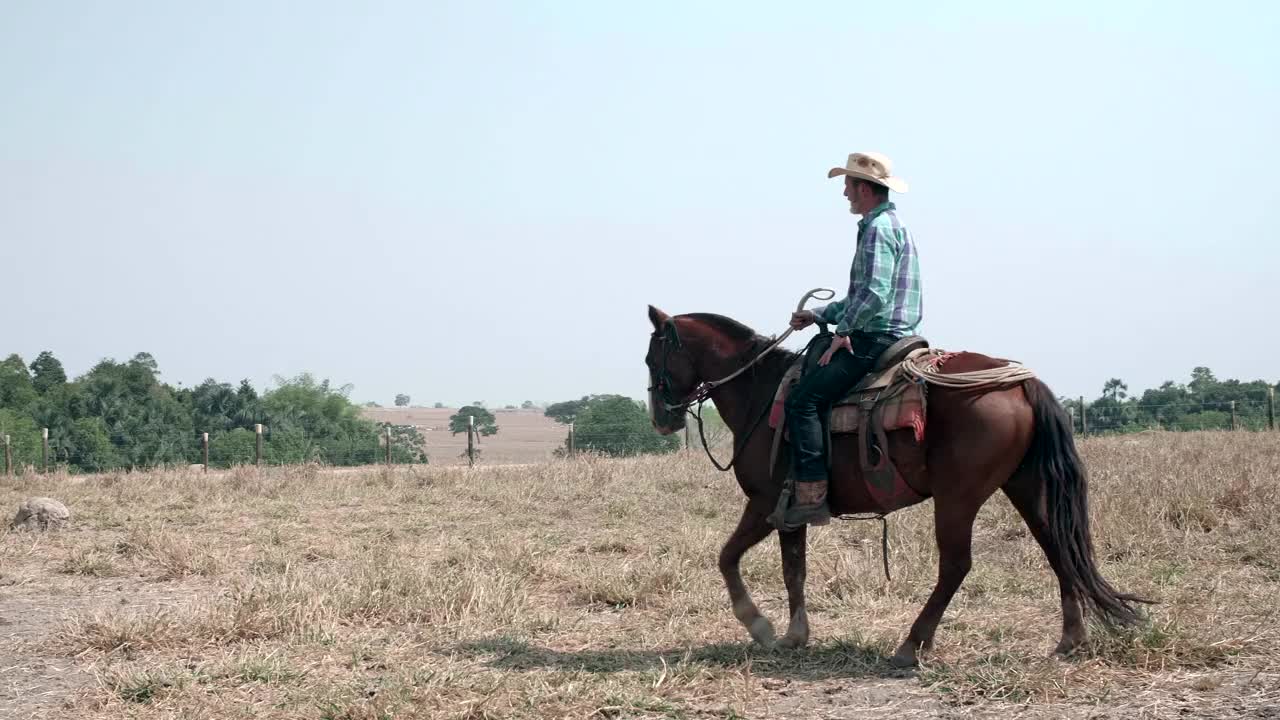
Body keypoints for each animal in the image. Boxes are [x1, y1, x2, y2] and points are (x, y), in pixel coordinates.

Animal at [645, 299, 1146, 666]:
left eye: (652, 357)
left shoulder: (766, 503)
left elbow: (728, 557)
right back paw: (1070, 639)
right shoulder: (790, 510)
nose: (661, 419)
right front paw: (795, 634)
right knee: (1057, 546)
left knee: (956, 565)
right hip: (1024, 485)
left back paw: (912, 644)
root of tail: (1019, 384)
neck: (762, 394)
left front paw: (760, 626)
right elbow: (793, 570)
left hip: (958, 496)